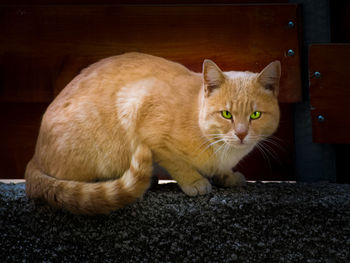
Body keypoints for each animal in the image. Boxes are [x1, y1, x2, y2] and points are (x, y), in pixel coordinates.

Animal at [25, 53, 282, 214]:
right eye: (226, 114)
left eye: (255, 115)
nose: (241, 134)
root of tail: (34, 157)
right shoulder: (142, 111)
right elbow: (177, 163)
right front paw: (195, 181)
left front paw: (226, 176)